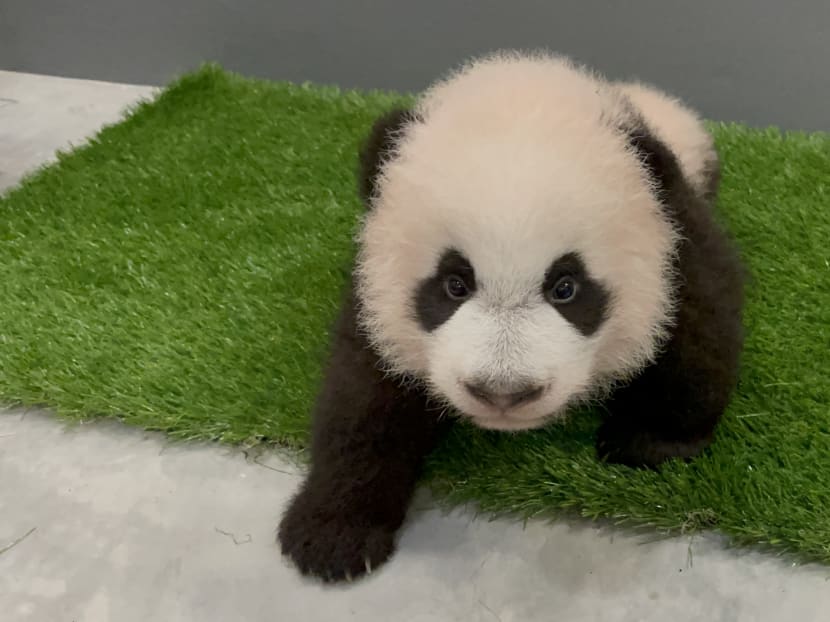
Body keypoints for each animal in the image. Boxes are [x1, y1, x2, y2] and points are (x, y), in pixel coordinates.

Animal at [278, 51, 744, 583]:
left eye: (565, 288)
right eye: (454, 284)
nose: (503, 392)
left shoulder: (672, 228)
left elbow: (697, 326)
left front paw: (651, 442)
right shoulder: (376, 291)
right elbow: (363, 395)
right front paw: (333, 535)